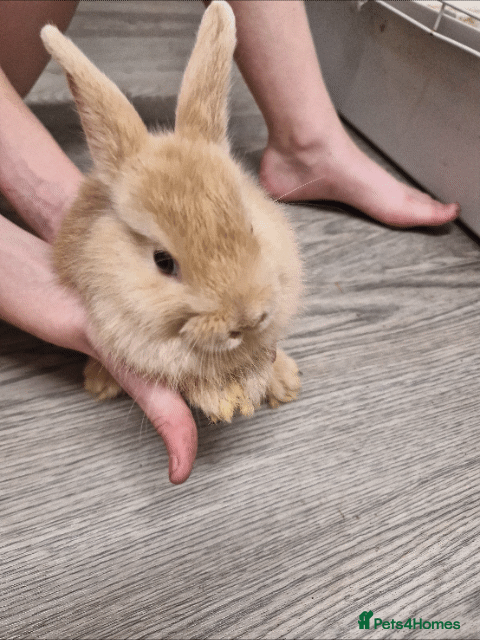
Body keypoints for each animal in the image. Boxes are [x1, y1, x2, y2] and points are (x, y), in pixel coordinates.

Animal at [40, 1, 302, 423]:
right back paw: (99, 382)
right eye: (163, 261)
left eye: (250, 226)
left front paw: (275, 382)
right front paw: (222, 399)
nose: (247, 317)